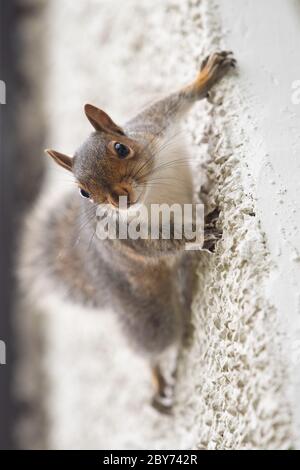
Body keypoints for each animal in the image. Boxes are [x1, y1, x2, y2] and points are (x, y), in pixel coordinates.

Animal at [20, 50, 237, 412]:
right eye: (84, 192)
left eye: (120, 147)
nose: (119, 198)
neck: (150, 191)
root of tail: (101, 279)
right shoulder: (124, 236)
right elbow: (157, 244)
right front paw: (198, 232)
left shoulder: (154, 124)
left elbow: (173, 101)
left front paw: (205, 77)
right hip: (149, 315)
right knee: (152, 348)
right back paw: (157, 380)